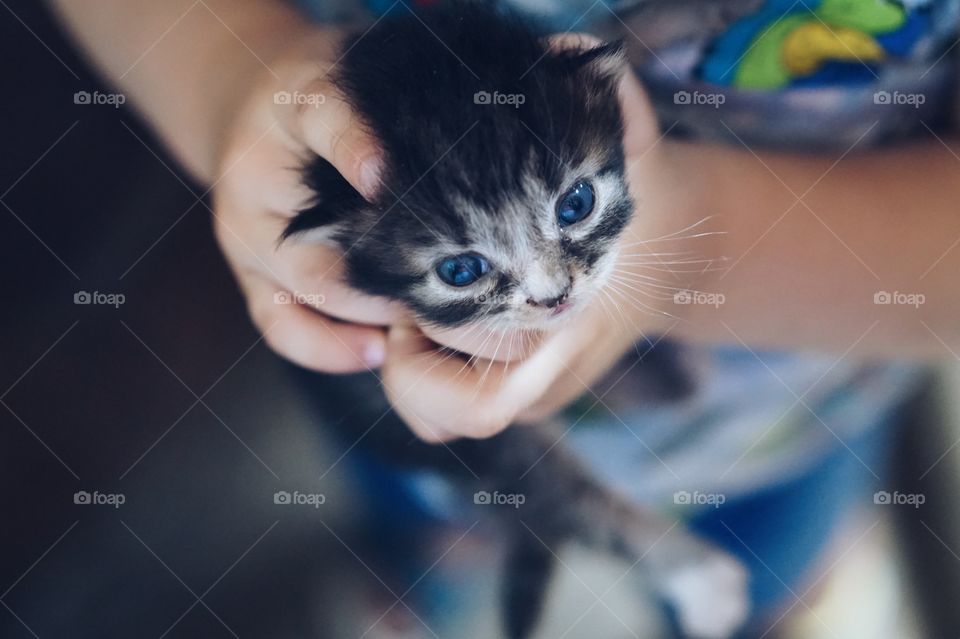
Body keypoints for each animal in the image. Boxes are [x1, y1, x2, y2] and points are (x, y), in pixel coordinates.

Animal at [282, 2, 748, 636]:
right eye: (460, 271)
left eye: (576, 204)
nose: (553, 297)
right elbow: (561, 491)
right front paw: (697, 580)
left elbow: (615, 36)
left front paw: (683, 22)